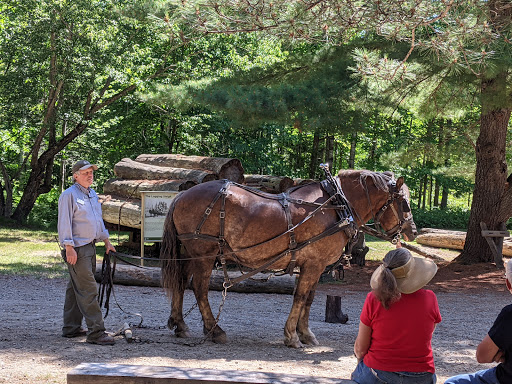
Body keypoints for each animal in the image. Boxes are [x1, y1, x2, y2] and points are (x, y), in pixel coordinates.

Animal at [162, 170, 418, 350]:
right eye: (404, 203)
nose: (413, 231)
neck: (337, 206)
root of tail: (182, 194)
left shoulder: (315, 266)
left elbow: (310, 299)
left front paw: (306, 334)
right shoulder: (313, 264)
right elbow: (300, 297)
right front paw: (292, 336)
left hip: (188, 252)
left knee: (181, 283)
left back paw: (180, 325)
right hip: (203, 253)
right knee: (199, 288)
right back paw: (214, 330)